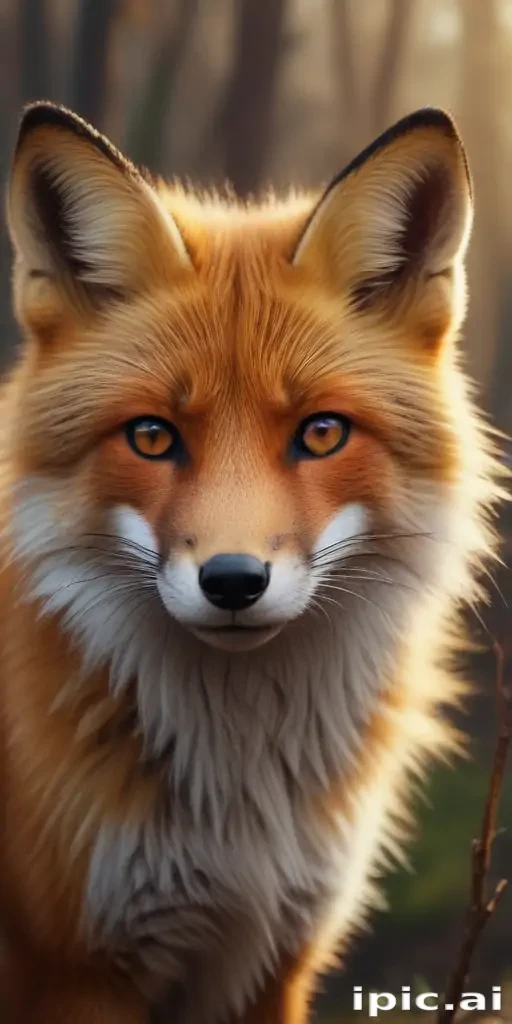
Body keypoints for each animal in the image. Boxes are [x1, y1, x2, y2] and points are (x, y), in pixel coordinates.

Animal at [0, 100, 501, 1023]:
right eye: (152, 436)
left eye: (322, 433)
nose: (233, 581)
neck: (239, 805)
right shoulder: (71, 970)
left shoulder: (277, 957)